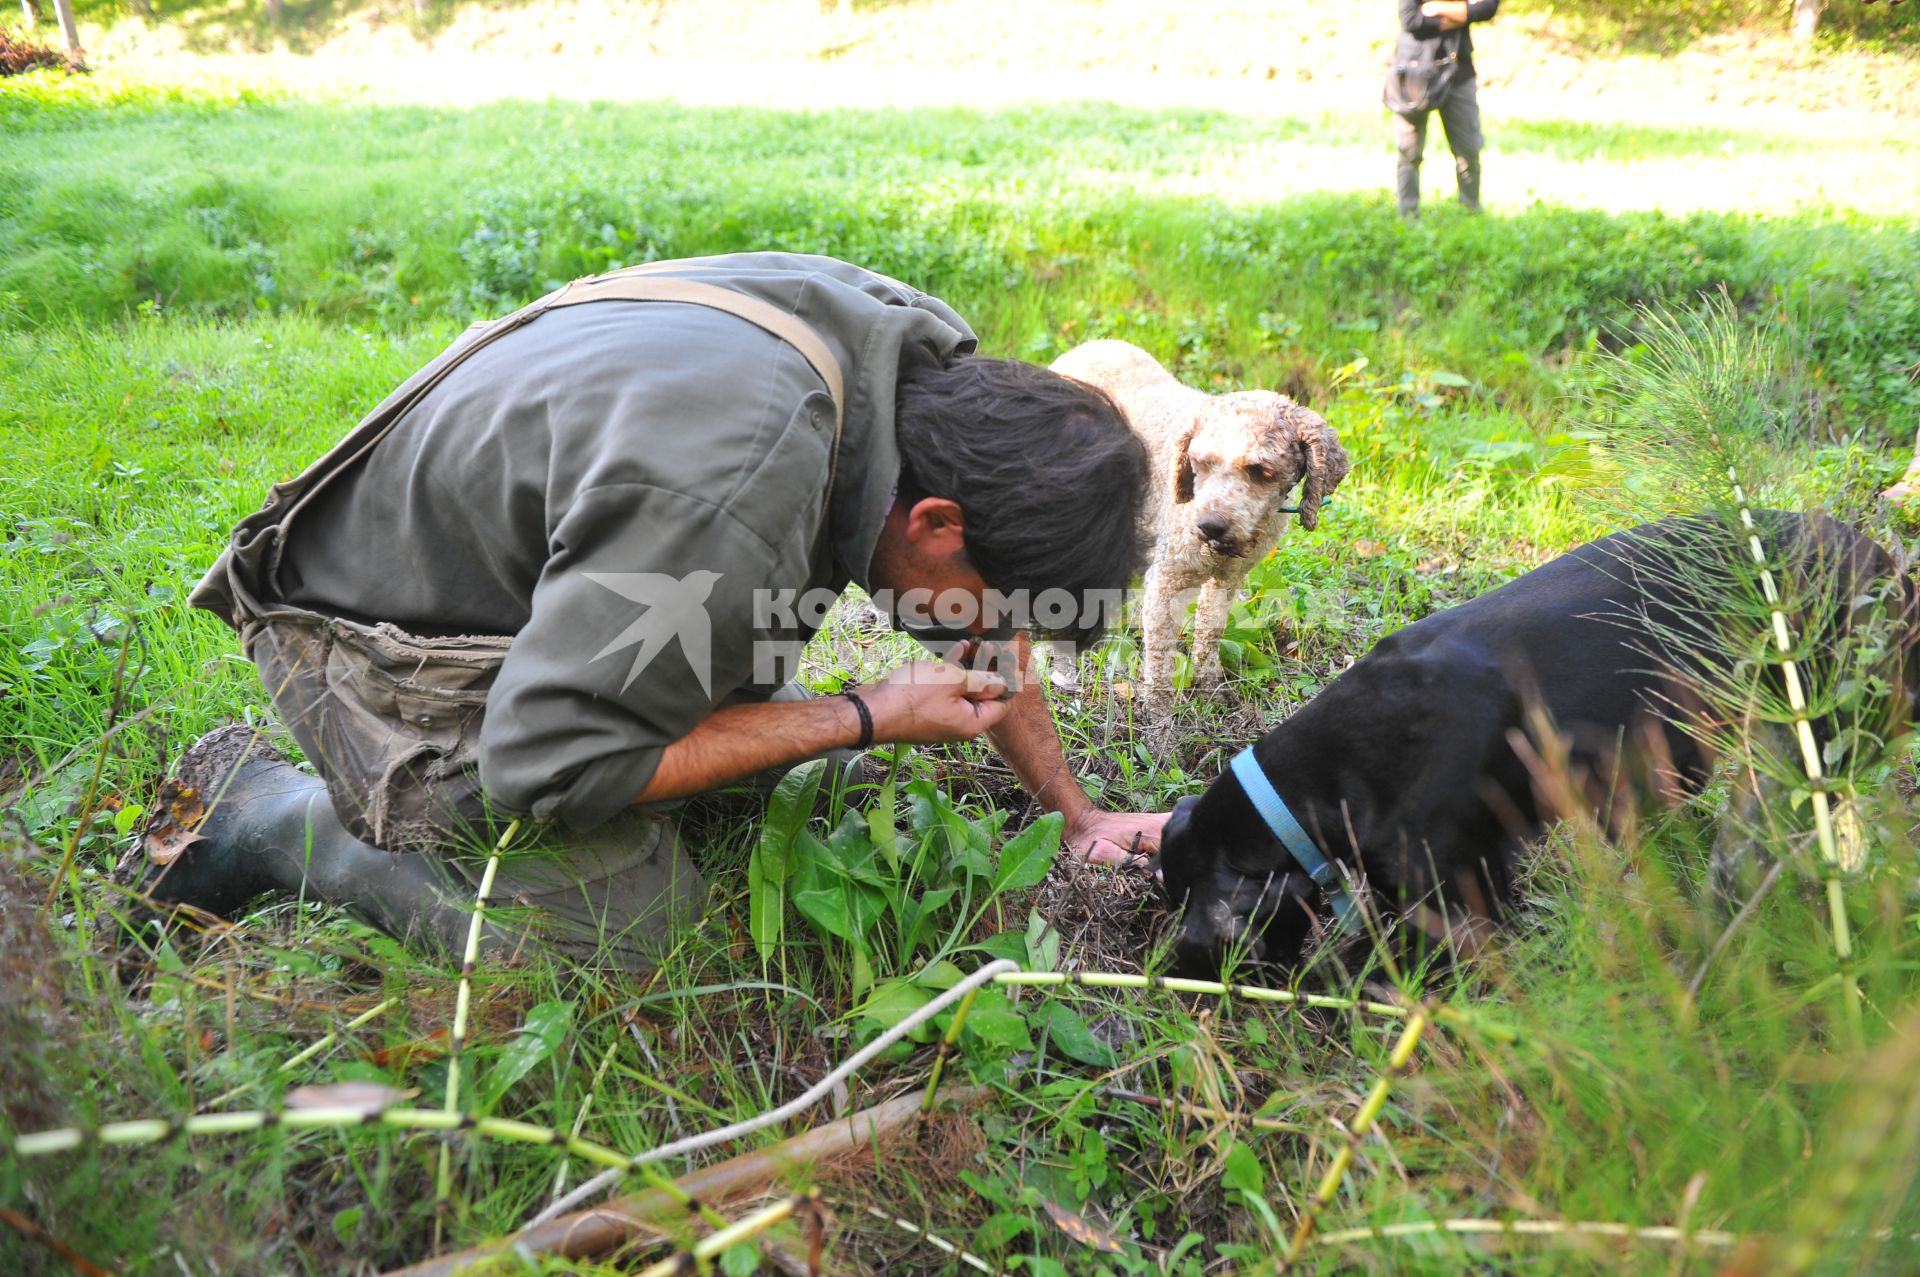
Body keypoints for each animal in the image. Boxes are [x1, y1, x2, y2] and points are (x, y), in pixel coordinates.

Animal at [1052, 341, 1351, 718]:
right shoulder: (1166, 581)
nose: (1210, 526)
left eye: (1261, 470)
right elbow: (1161, 655)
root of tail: (1086, 345)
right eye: (1201, 462)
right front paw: (1159, 717)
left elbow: (1210, 632)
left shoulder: (1228, 580)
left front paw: (1210, 689)